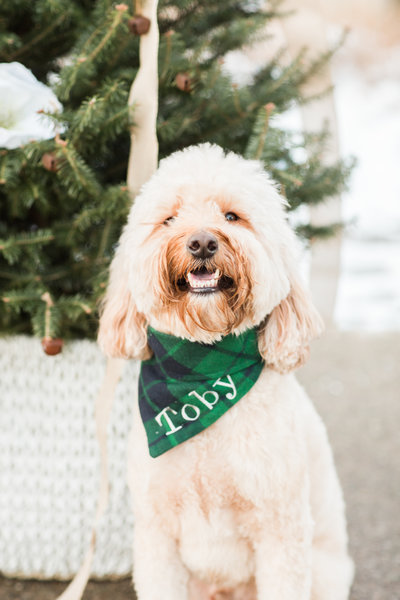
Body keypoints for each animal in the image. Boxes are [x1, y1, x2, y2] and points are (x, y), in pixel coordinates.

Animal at [97, 145, 354, 600]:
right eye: (170, 218)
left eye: (232, 216)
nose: (202, 241)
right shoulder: (155, 533)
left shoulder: (281, 530)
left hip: (324, 573)